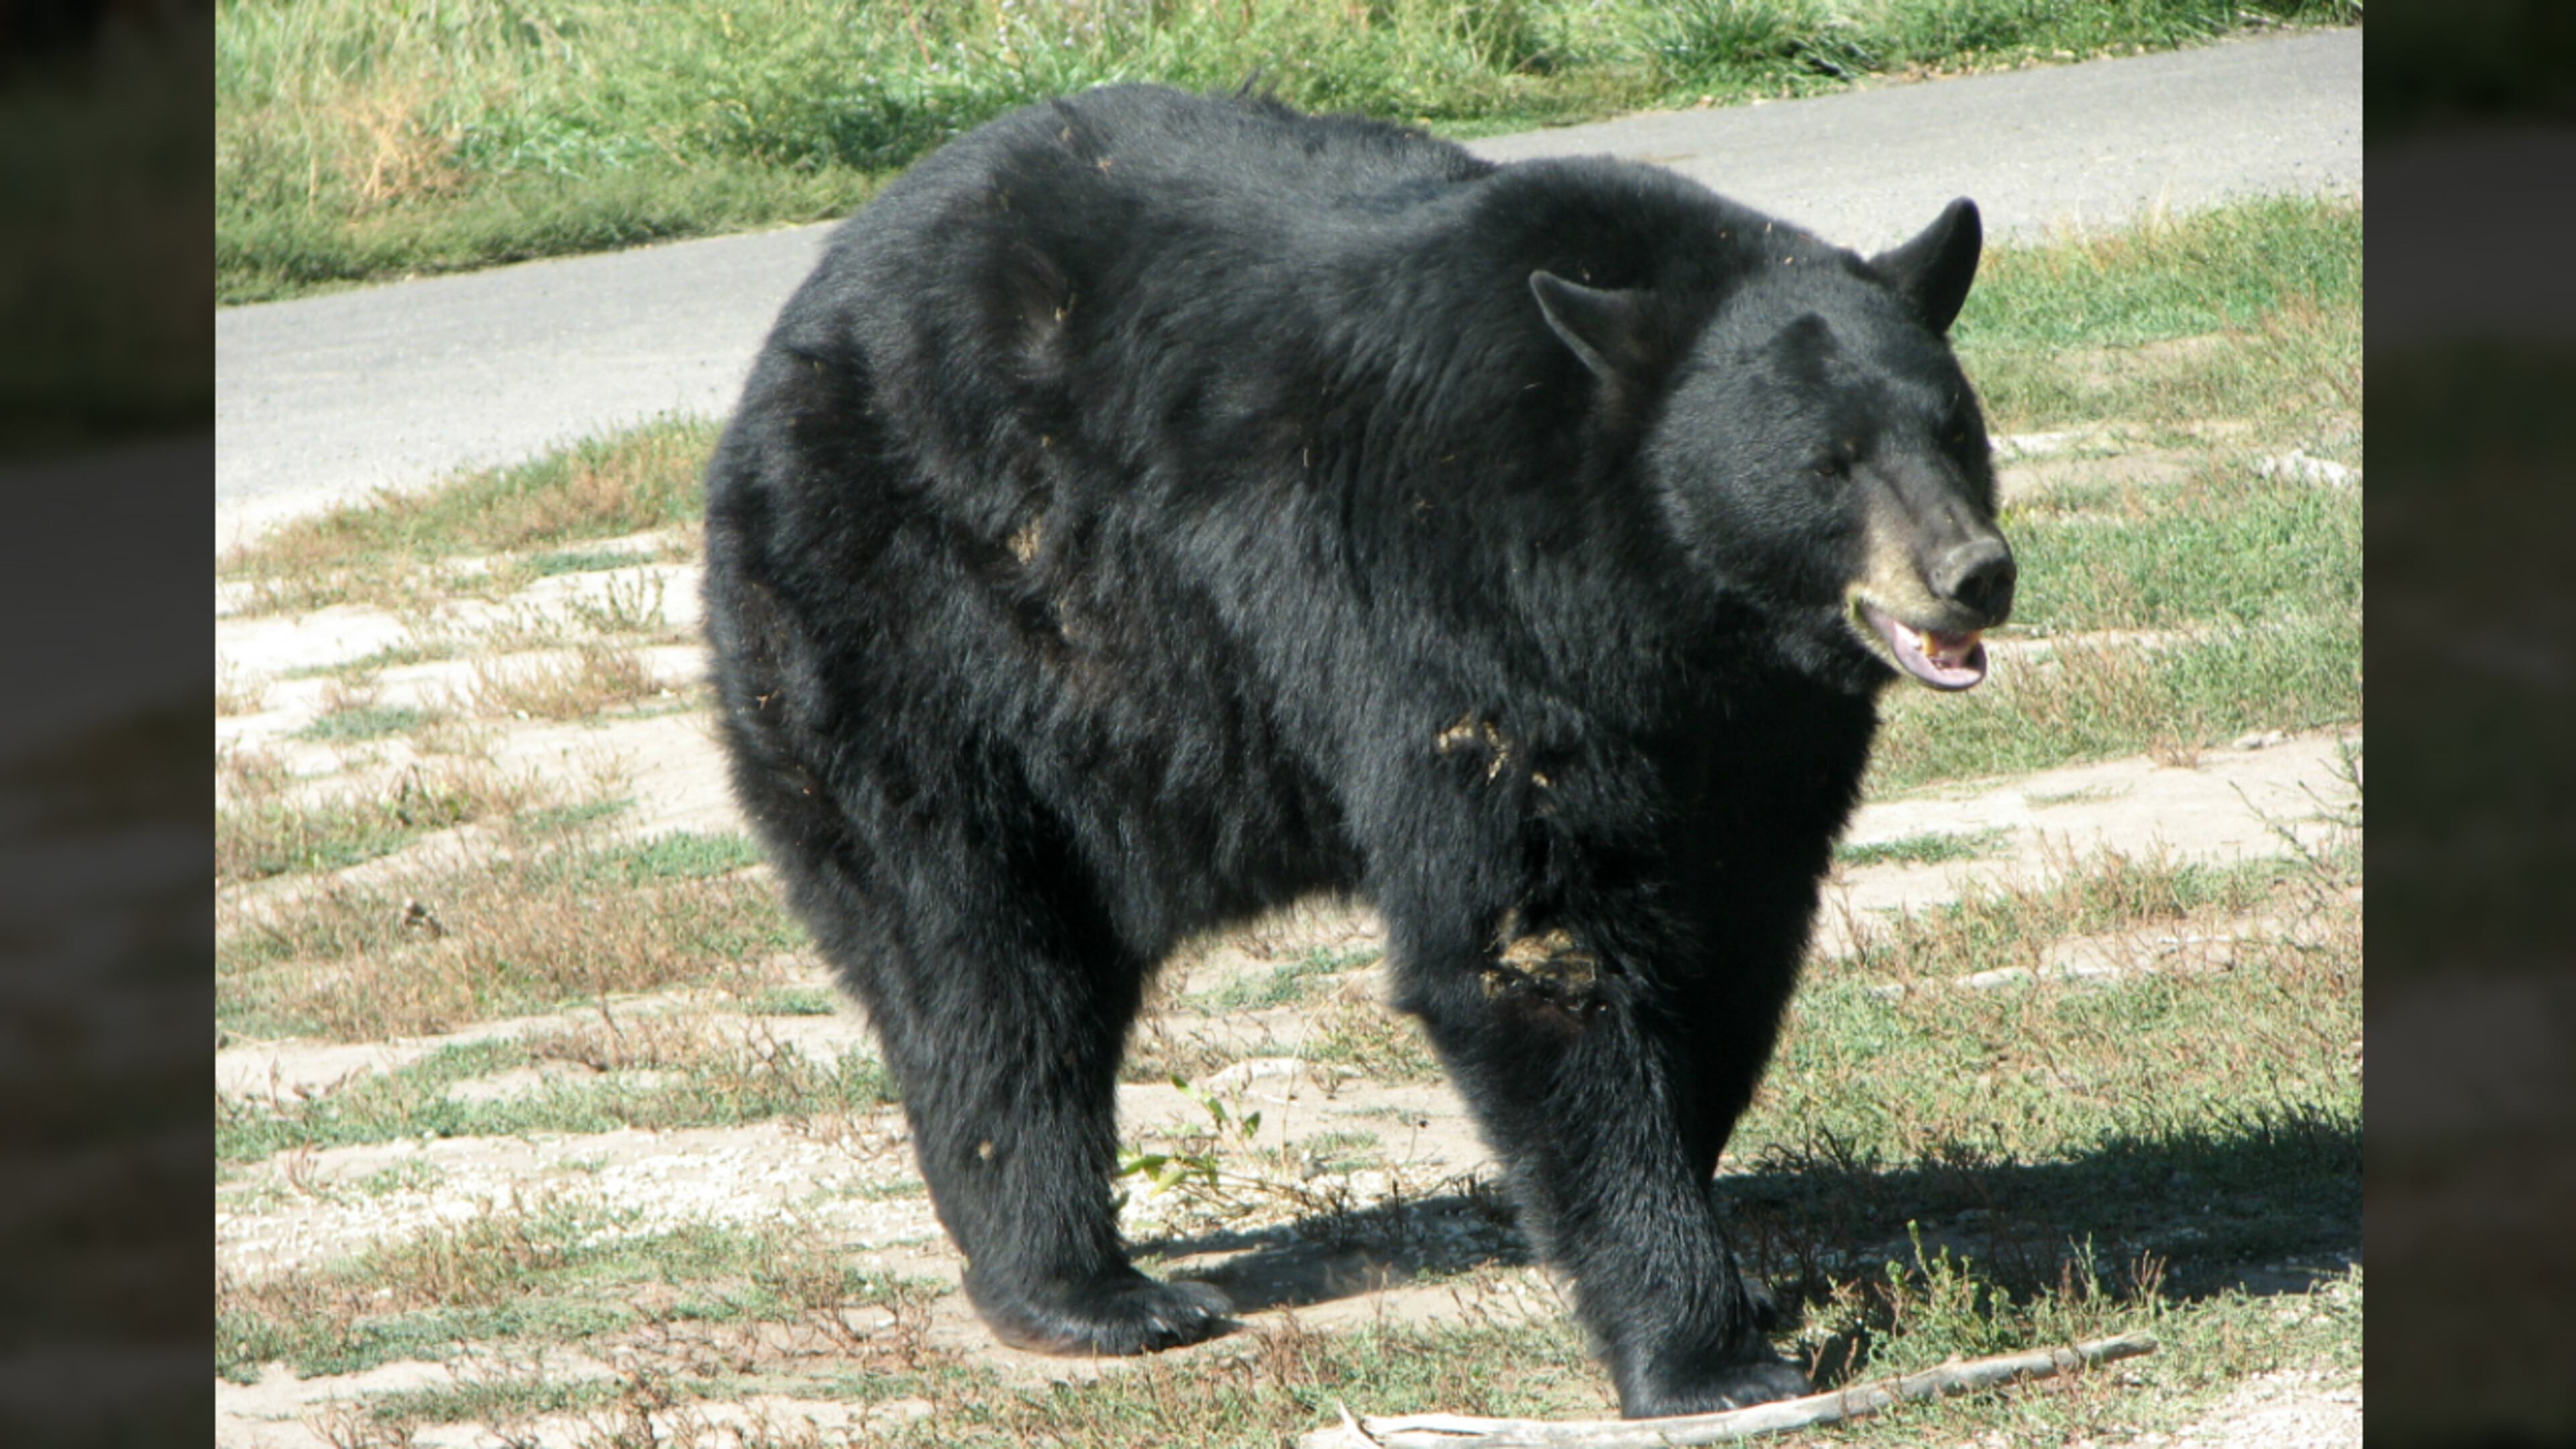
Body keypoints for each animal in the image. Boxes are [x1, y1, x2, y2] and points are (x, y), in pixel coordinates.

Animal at [701, 84, 2014, 1418]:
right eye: (1828, 463)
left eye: (1954, 425)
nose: (1974, 573)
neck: (1662, 597)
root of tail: (799, 323)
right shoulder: (1455, 607)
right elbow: (1530, 939)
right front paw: (1701, 1348)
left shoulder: (1756, 732)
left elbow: (1738, 934)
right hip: (918, 631)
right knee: (983, 962)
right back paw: (1090, 1291)